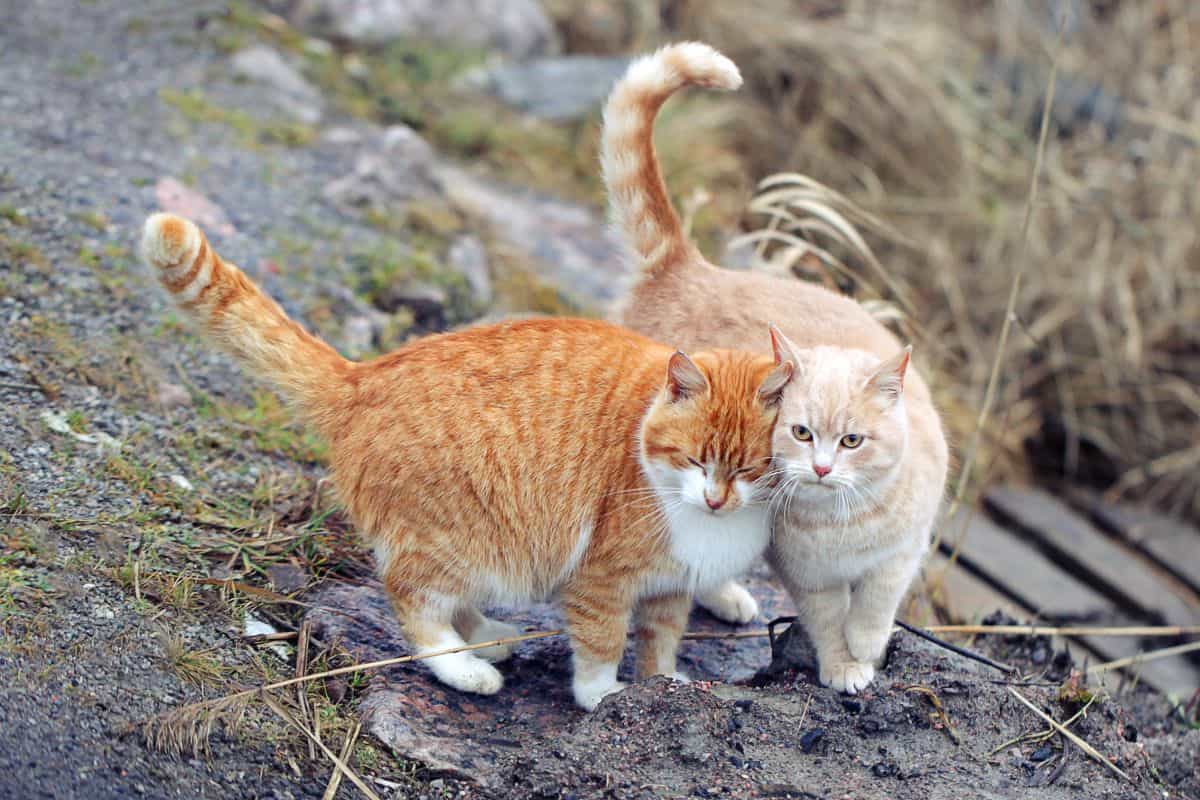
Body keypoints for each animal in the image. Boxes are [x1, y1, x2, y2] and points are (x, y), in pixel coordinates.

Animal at [140, 212, 792, 705]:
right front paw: (603, 696)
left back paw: (489, 638)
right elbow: (603, 641)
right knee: (413, 599)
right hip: (473, 539)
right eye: (694, 459)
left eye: (750, 469)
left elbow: (661, 639)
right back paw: (465, 667)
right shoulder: (602, 578)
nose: (715, 499)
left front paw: (663, 684)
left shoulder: (671, 587)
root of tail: (363, 376)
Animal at [600, 43, 945, 695]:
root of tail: (692, 265)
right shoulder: (809, 580)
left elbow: (877, 600)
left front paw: (869, 642)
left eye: (853, 440)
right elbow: (829, 622)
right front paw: (843, 666)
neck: (843, 521)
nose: (821, 468)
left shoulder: (902, 552)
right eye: (801, 432)